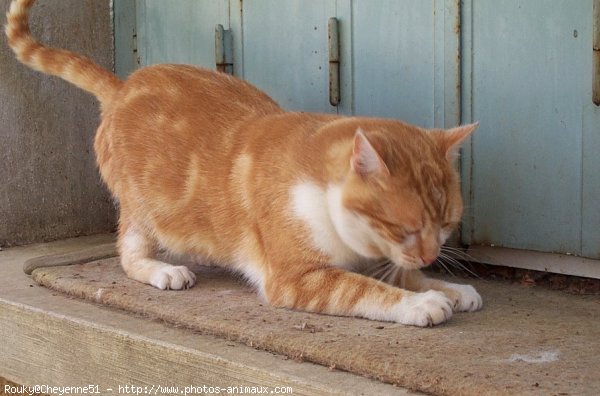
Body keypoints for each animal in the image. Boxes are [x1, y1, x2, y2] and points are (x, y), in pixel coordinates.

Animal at [5, 0, 482, 326]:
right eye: (403, 228)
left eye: (446, 224)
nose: (430, 254)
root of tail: (123, 85)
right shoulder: (297, 279)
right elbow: (366, 290)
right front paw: (422, 303)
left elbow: (398, 276)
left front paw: (452, 289)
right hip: (144, 211)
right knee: (128, 250)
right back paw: (163, 270)